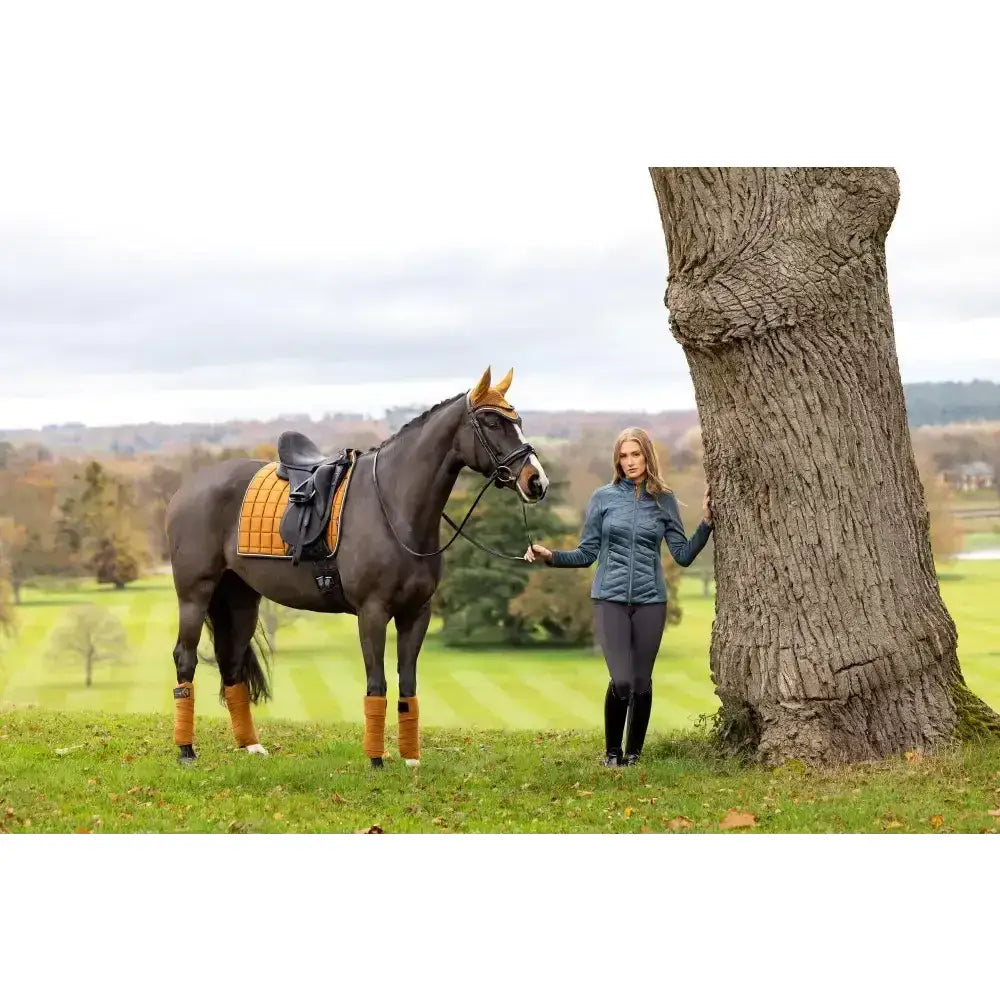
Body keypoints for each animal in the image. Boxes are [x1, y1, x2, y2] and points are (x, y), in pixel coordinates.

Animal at [164, 366, 549, 767]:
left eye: (518, 421)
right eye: (491, 421)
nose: (536, 481)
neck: (393, 505)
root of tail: (188, 487)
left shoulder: (416, 613)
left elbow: (407, 685)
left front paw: (411, 760)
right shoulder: (373, 612)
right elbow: (377, 683)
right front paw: (377, 760)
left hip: (240, 600)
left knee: (231, 662)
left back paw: (250, 745)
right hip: (195, 594)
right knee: (184, 659)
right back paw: (186, 750)